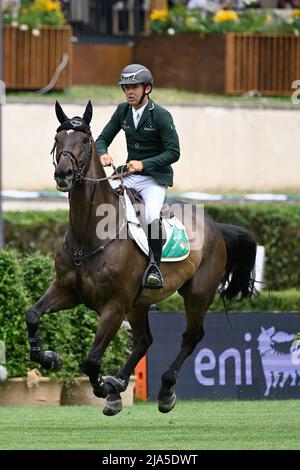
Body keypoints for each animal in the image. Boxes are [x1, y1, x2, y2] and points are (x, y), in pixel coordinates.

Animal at [25, 102, 258, 414]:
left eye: (85, 140)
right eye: (57, 138)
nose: (63, 174)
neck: (88, 235)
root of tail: (215, 226)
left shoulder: (114, 306)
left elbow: (91, 360)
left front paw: (102, 386)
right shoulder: (66, 290)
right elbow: (32, 315)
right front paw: (49, 357)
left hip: (197, 294)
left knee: (191, 337)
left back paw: (164, 390)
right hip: (140, 304)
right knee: (144, 341)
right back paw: (119, 385)